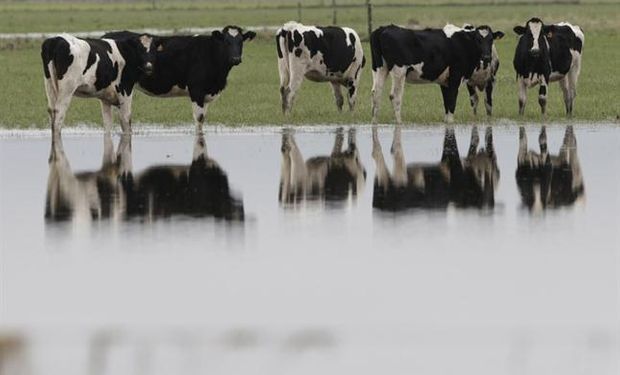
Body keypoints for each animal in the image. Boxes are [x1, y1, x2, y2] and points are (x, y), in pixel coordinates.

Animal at [103, 26, 256, 132]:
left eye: (241, 41)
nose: (236, 59)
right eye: (226, 41)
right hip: (123, 87)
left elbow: (203, 119)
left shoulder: (206, 94)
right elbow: (199, 119)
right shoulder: (196, 90)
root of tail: (107, 35)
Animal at [370, 23, 506, 123]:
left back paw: (374, 122)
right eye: (478, 40)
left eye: (491, 40)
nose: (487, 57)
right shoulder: (455, 78)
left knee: (376, 94)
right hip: (399, 71)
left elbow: (446, 104)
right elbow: (451, 103)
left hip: (379, 69)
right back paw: (399, 122)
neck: (464, 42)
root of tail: (384, 28)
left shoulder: (444, 82)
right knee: (395, 96)